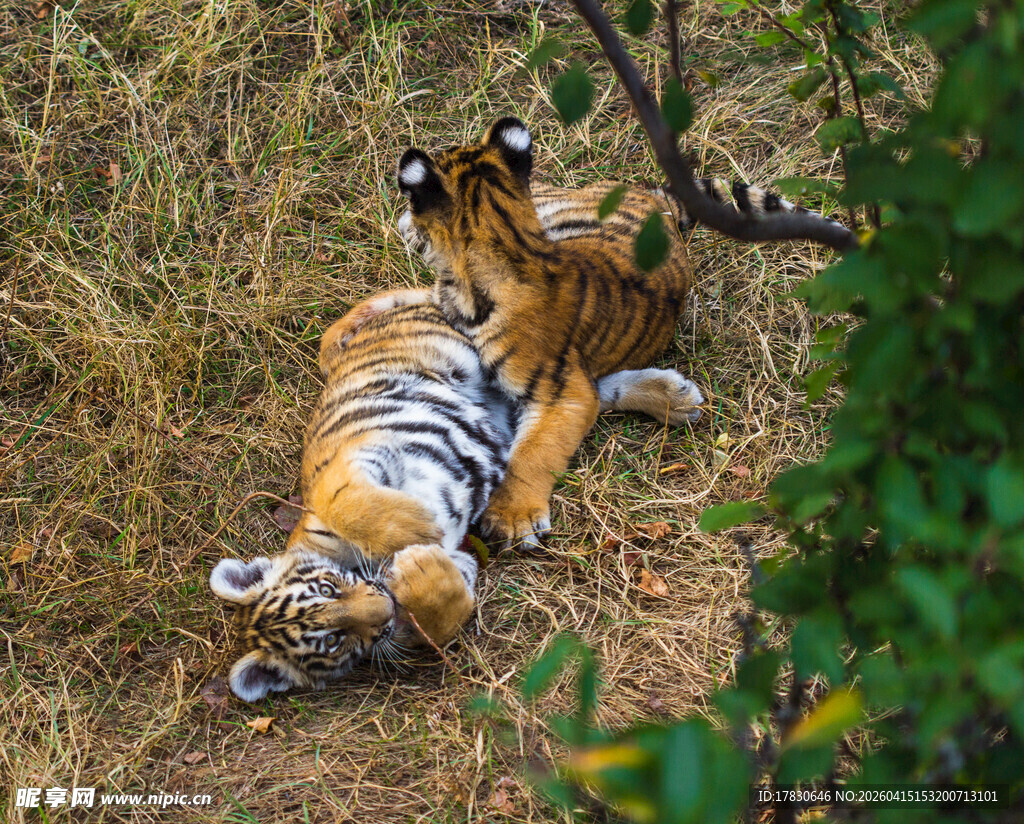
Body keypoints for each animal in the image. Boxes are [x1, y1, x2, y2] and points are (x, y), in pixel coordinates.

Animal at [210, 297, 703, 701]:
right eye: (335, 640)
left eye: (328, 589)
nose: (384, 605)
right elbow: (444, 616)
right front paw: (423, 569)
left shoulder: (349, 463)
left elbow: (349, 503)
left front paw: (418, 532)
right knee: (586, 393)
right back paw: (675, 399)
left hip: (475, 351)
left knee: (571, 386)